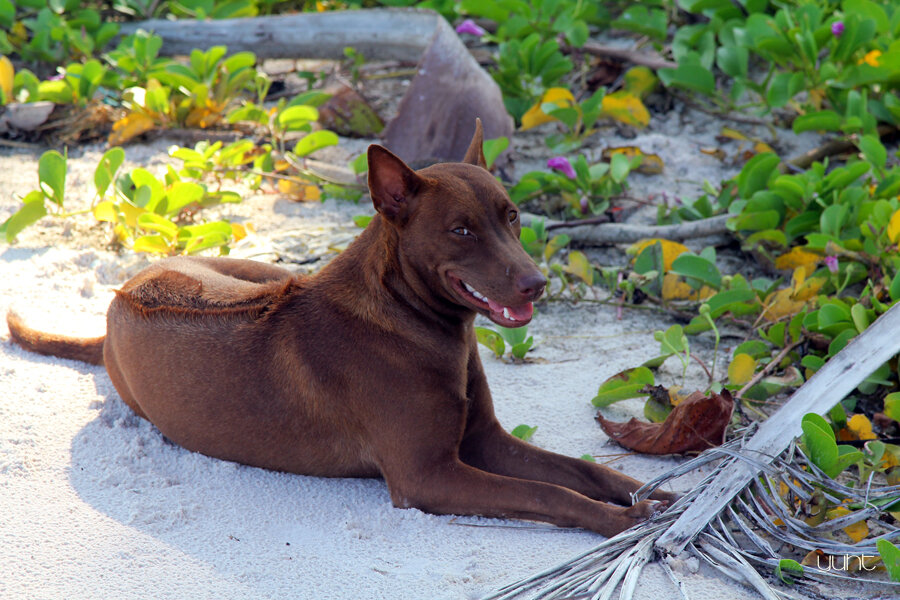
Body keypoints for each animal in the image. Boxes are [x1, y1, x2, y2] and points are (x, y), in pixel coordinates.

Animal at [5, 120, 668, 536]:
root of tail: (124, 291)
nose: (537, 284)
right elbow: (546, 494)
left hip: (264, 272)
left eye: (512, 217)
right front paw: (617, 520)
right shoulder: (428, 477)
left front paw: (648, 492)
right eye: (461, 230)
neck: (412, 320)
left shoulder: (484, 440)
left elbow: (584, 471)